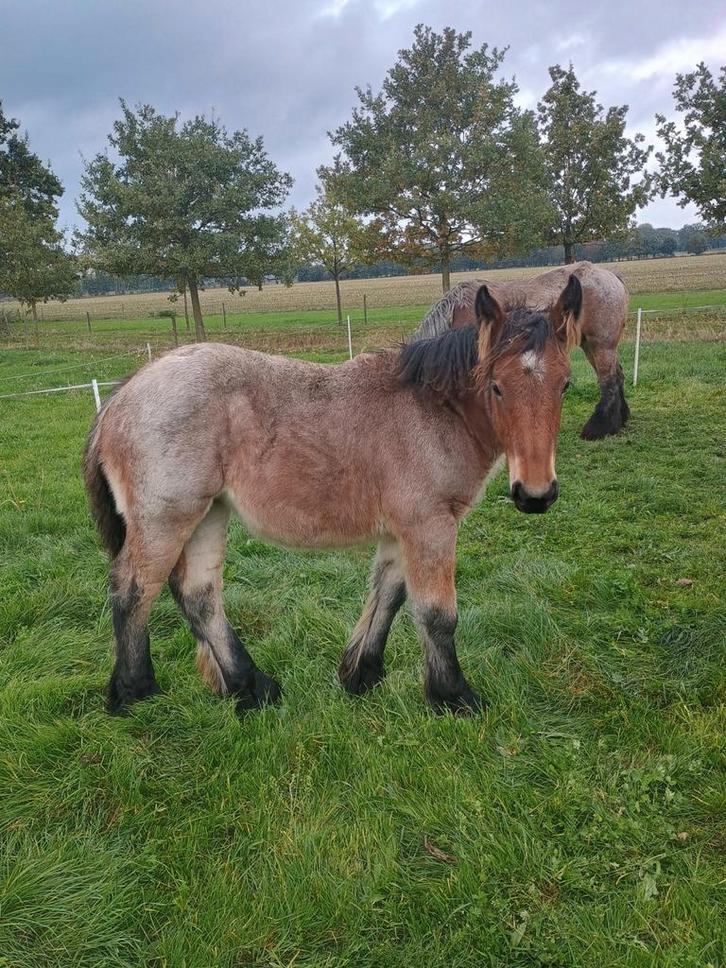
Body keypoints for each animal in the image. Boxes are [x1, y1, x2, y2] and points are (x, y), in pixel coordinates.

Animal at [84, 276, 582, 718]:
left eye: (565, 384)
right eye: (496, 386)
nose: (535, 495)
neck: (429, 409)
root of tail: (120, 397)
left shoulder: (402, 529)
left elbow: (388, 595)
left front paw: (361, 674)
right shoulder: (430, 524)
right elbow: (436, 613)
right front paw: (453, 695)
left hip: (210, 514)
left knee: (198, 595)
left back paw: (251, 687)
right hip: (166, 518)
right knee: (133, 589)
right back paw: (135, 692)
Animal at [412, 261, 629, 440]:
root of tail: (611, 275)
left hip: (601, 346)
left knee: (609, 381)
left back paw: (598, 428)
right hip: (591, 345)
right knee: (617, 376)